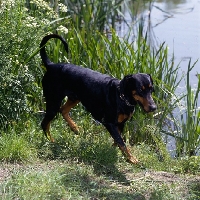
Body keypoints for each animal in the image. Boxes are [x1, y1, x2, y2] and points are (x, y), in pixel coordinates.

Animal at [40, 34, 156, 164]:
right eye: (140, 90)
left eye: (151, 89)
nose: (153, 107)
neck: (121, 97)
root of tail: (51, 66)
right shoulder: (109, 123)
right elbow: (121, 142)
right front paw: (131, 158)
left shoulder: (121, 123)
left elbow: (117, 140)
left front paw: (113, 152)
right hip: (53, 102)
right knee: (45, 123)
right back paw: (52, 141)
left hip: (75, 98)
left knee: (63, 110)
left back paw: (75, 128)